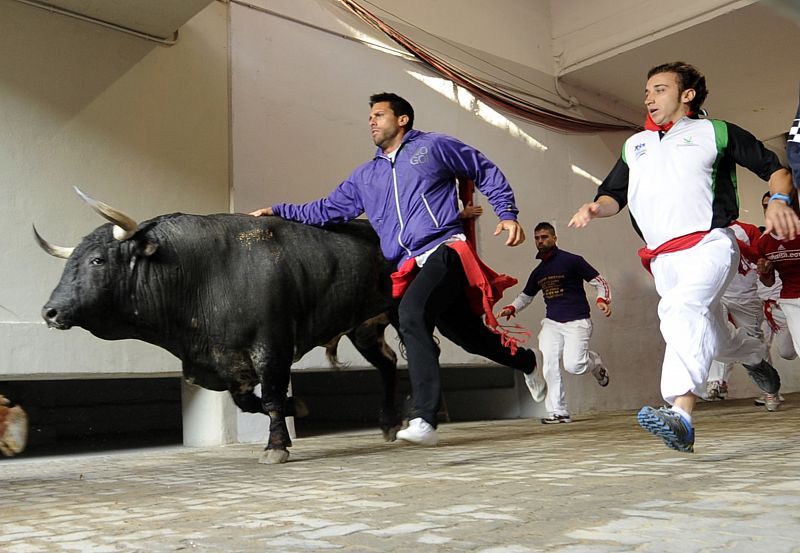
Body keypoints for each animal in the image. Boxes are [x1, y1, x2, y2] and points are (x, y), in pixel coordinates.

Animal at [36, 203, 400, 462]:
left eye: (97, 260)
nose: (50, 312)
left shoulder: (272, 347)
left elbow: (271, 397)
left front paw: (276, 446)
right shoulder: (227, 363)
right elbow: (248, 402)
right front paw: (297, 408)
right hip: (364, 328)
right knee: (387, 363)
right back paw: (390, 424)